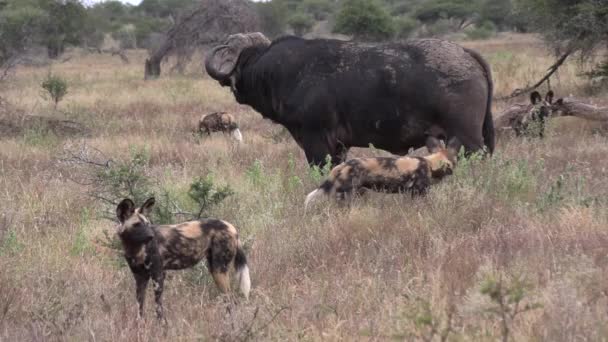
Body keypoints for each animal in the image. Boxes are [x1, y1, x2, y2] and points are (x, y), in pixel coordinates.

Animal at [115, 196, 251, 320]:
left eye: (147, 224)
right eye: (136, 225)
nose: (151, 236)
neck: (135, 248)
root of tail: (231, 226)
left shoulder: (158, 275)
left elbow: (158, 307)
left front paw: (161, 325)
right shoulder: (140, 278)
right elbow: (140, 308)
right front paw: (140, 325)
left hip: (219, 271)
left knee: (231, 300)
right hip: (214, 269)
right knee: (228, 300)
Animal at [204, 33, 494, 166]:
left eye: (238, 56)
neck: (278, 73)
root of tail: (465, 53)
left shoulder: (316, 141)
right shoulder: (340, 147)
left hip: (467, 137)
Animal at [304, 137, 460, 208]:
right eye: (455, 162)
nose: (454, 171)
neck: (430, 163)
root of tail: (342, 166)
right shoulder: (419, 192)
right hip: (347, 195)